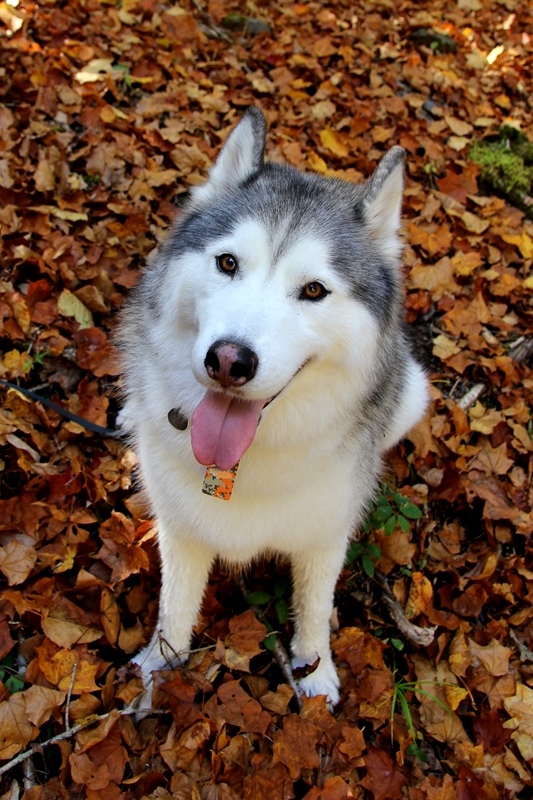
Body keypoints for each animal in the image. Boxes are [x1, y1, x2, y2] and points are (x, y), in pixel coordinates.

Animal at [119, 108, 428, 708]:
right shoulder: (180, 527)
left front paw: (315, 673)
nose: (228, 360)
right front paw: (160, 666)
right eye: (227, 262)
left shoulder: (324, 534)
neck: (242, 464)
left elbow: (313, 607)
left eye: (313, 290)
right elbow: (176, 605)